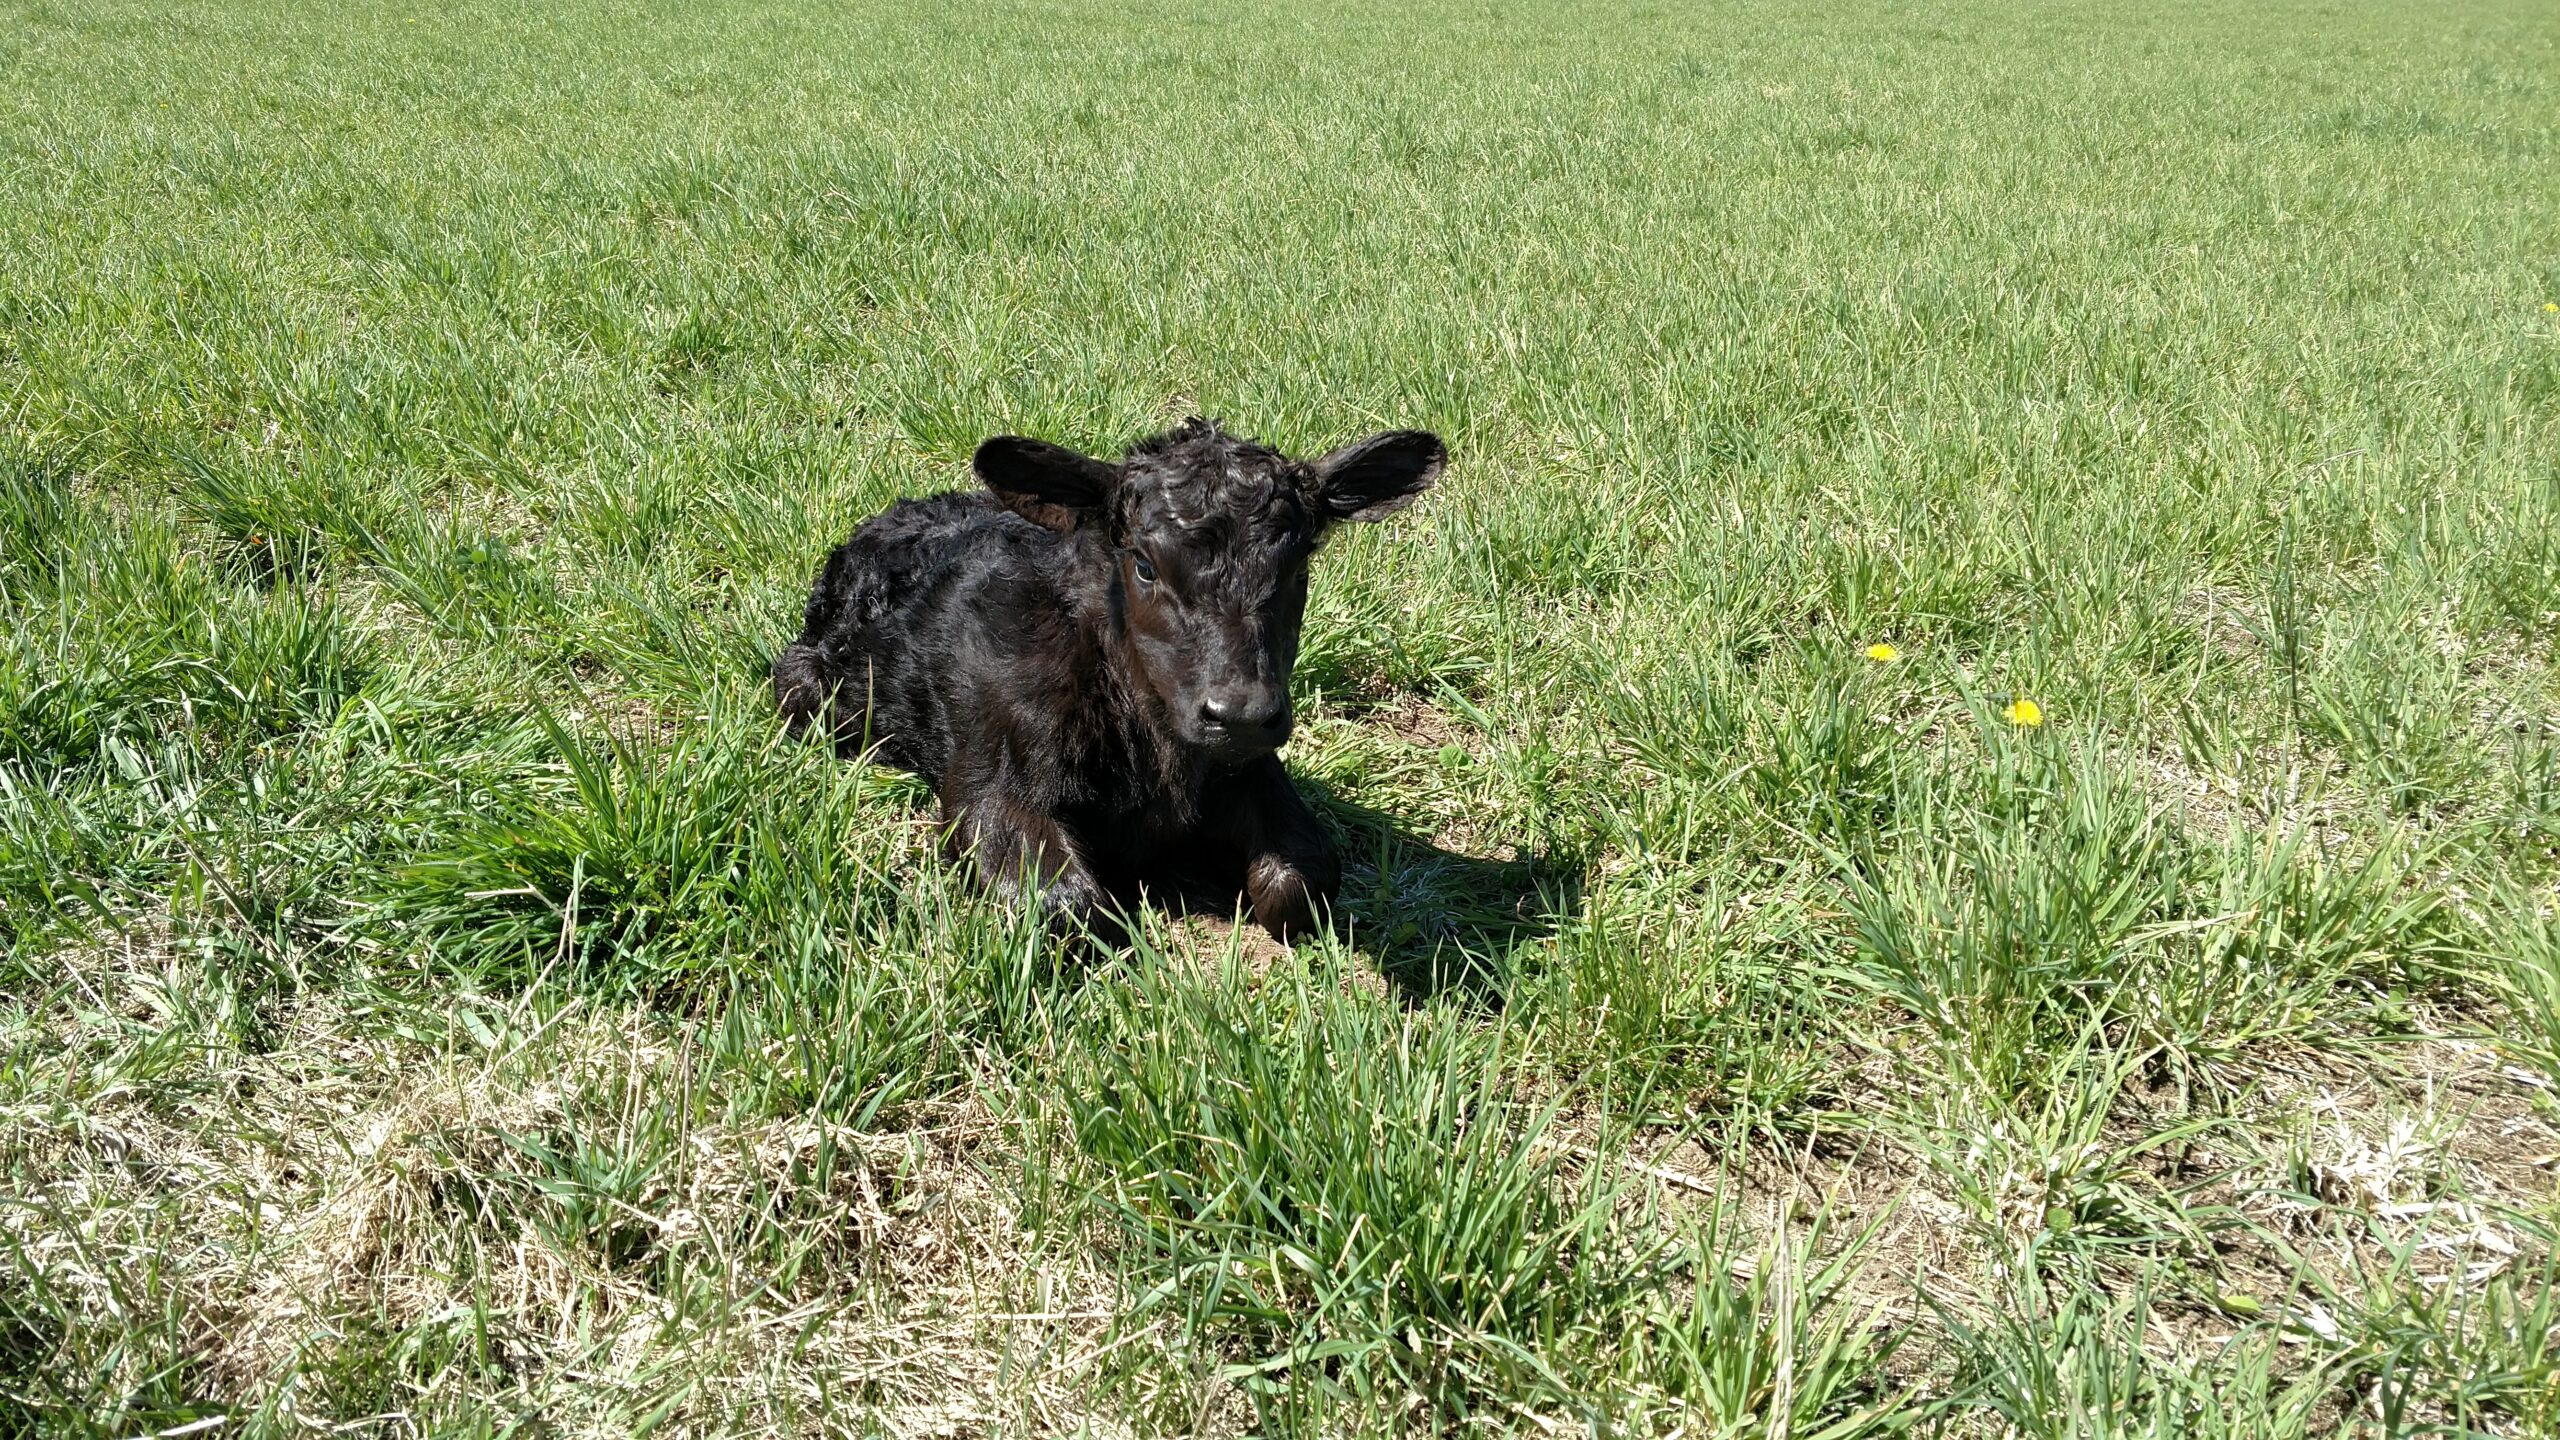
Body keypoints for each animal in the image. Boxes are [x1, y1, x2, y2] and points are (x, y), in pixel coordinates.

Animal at [774, 417, 1445, 939]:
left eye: (1298, 565)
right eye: (1144, 565)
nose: (1240, 715)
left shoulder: (1249, 766)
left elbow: (1304, 877)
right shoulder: (988, 783)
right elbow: (1065, 905)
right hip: (807, 685)